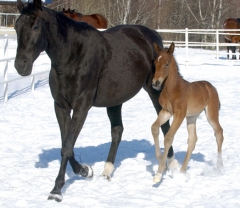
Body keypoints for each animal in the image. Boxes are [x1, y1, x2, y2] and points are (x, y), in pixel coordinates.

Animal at [14, 0, 172, 202]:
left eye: (35, 26)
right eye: (17, 26)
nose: (21, 66)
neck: (73, 56)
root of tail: (153, 37)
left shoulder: (81, 107)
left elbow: (67, 147)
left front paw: (56, 190)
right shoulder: (61, 107)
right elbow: (67, 144)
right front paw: (85, 171)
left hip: (154, 91)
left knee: (165, 125)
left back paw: (170, 166)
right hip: (115, 100)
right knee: (117, 131)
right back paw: (107, 172)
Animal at [151, 42, 224, 184]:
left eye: (167, 64)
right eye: (155, 63)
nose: (155, 83)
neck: (172, 89)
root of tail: (211, 87)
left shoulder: (179, 114)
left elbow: (168, 137)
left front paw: (158, 173)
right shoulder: (166, 112)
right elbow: (154, 127)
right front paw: (161, 163)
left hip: (211, 114)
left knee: (219, 132)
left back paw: (219, 167)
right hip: (192, 117)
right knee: (192, 139)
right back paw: (182, 171)